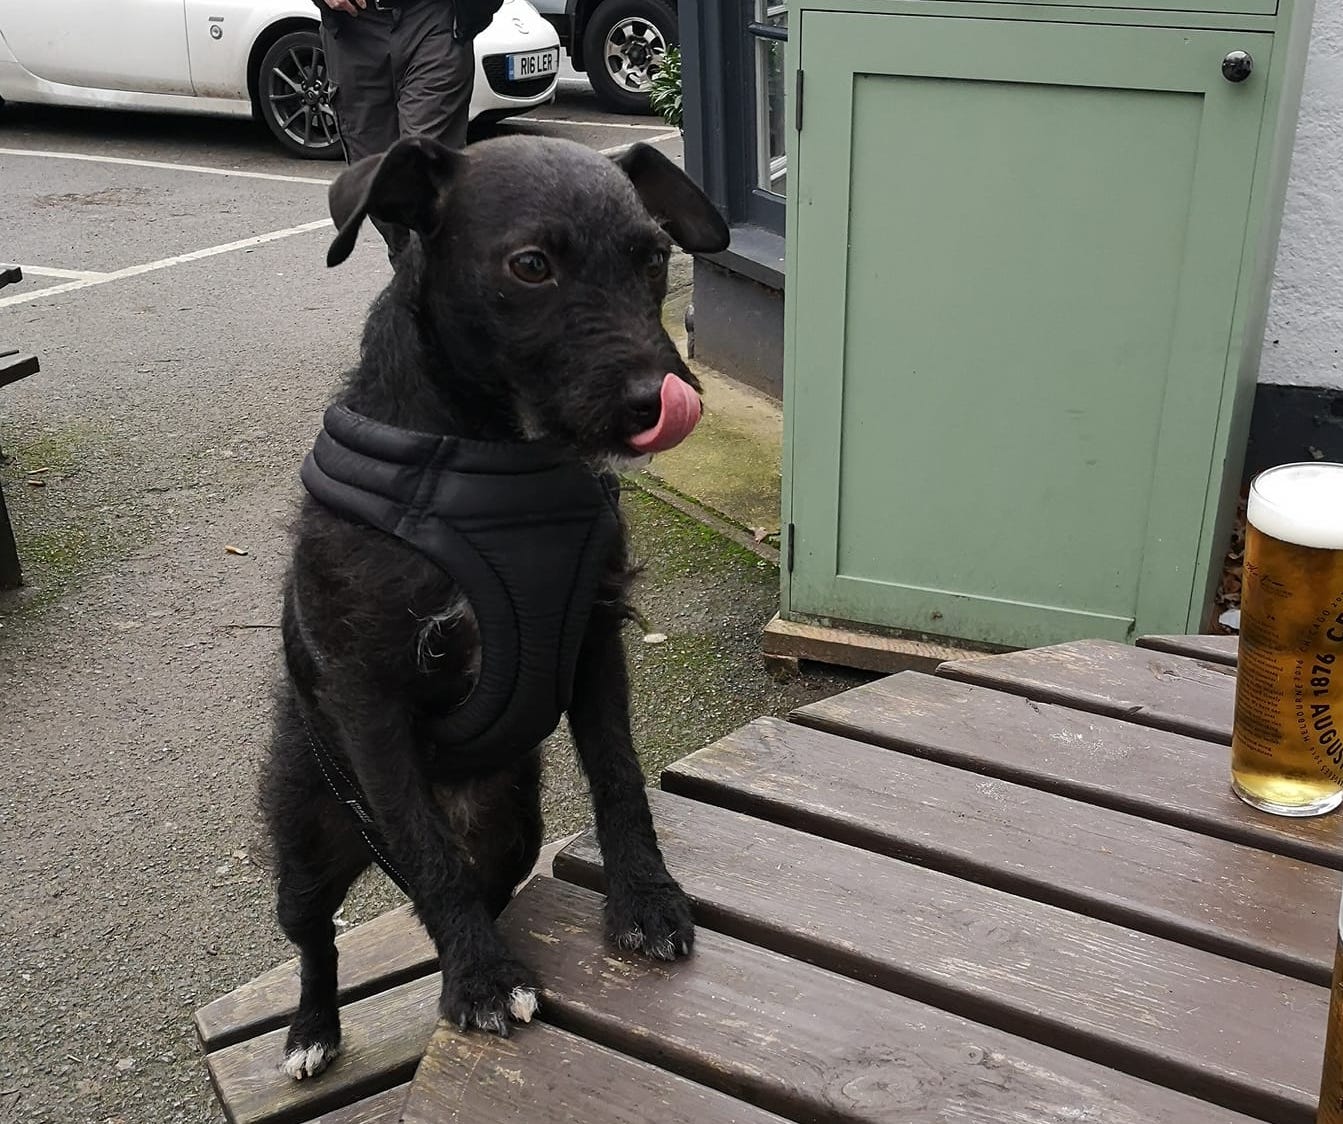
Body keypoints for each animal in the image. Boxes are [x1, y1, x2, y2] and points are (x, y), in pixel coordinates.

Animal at [256, 133, 730, 1079]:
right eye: (531, 265)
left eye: (652, 257)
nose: (660, 398)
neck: (495, 464)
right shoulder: (371, 698)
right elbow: (423, 854)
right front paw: (478, 979)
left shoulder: (592, 641)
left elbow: (619, 777)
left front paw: (644, 899)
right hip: (307, 839)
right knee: (321, 933)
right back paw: (312, 1029)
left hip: (512, 823)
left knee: (487, 878)